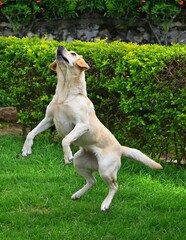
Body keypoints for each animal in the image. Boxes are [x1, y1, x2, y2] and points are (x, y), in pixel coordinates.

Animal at [21, 46, 161, 211]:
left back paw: (105, 204)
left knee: (114, 186)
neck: (65, 93)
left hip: (105, 170)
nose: (60, 47)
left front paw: (66, 156)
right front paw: (26, 150)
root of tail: (120, 148)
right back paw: (77, 195)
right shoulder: (48, 119)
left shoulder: (82, 125)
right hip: (80, 162)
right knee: (93, 181)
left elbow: (65, 139)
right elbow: (31, 133)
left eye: (73, 53)